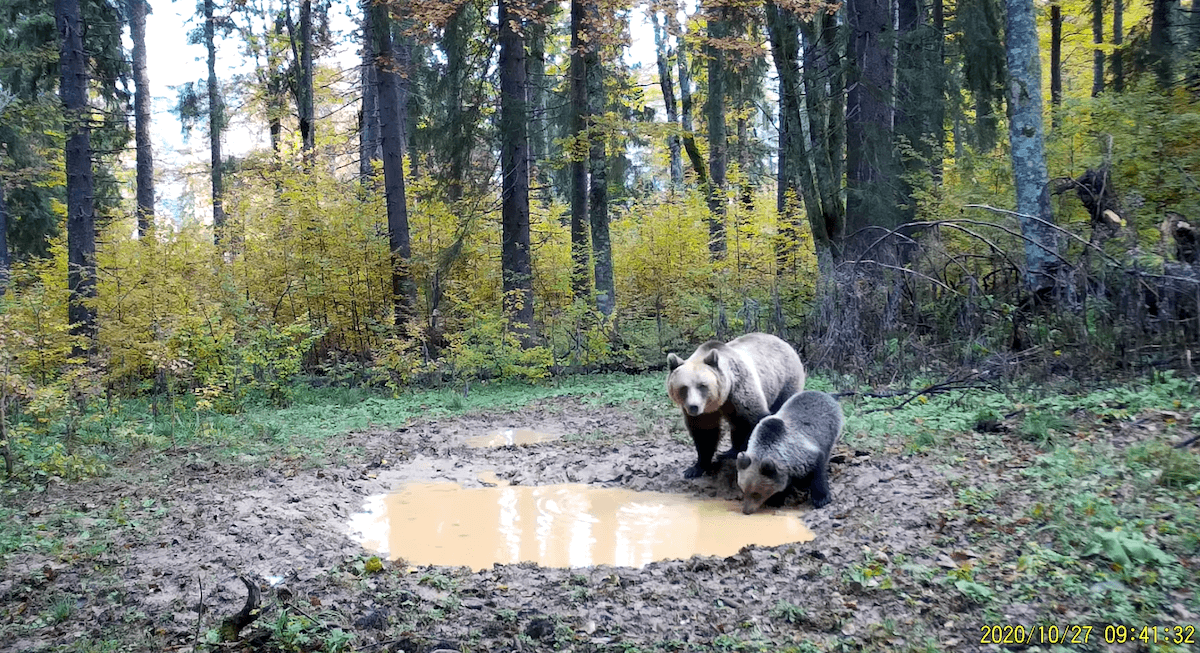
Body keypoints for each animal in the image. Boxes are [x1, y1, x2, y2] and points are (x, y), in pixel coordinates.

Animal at [666, 333, 806, 479]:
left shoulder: (740, 389)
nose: (693, 407)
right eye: (683, 387)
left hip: (785, 380)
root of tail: (784, 343)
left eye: (702, 385)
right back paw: (728, 452)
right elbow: (704, 432)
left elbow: (752, 420)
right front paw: (695, 468)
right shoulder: (706, 411)